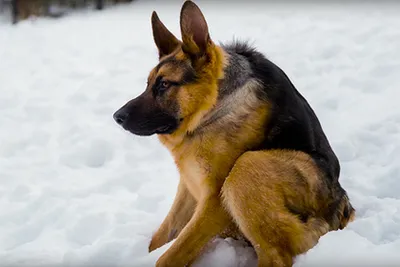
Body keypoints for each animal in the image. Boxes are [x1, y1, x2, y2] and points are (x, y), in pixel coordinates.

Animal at [111, 1, 354, 266]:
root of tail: (343, 208)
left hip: (247, 167)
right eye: (148, 84)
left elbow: (168, 256)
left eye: (164, 84)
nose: (117, 116)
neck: (214, 107)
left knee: (276, 254)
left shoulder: (214, 202)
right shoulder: (188, 185)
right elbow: (160, 239)